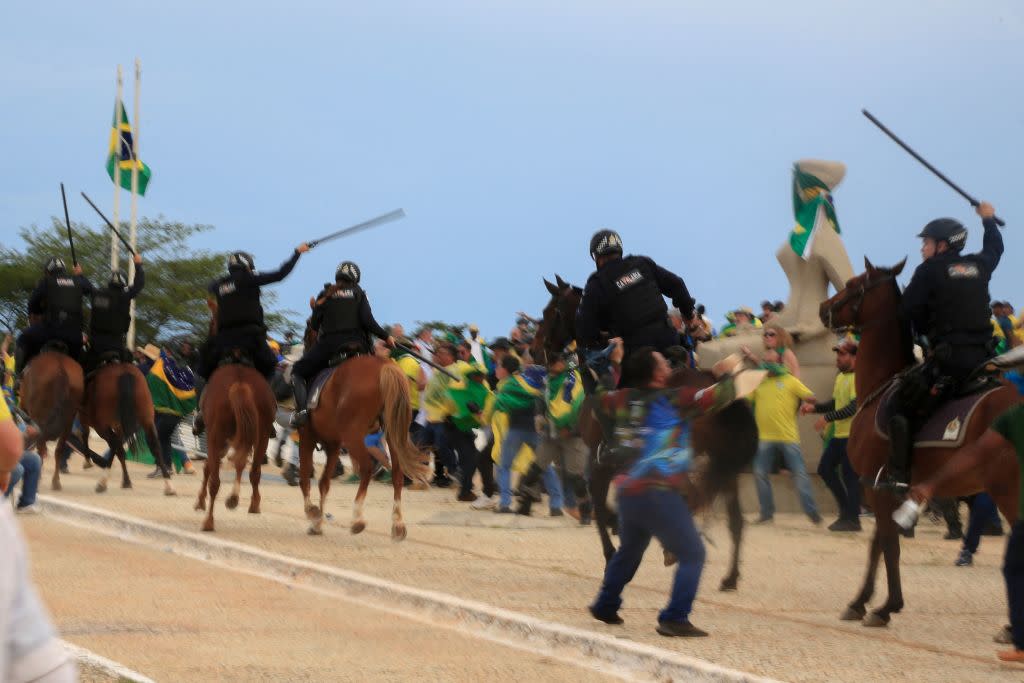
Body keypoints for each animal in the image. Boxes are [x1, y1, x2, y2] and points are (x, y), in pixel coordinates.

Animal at [19, 352, 83, 491]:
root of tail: (60, 368)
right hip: (68, 420)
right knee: (58, 449)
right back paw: (56, 481)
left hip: (39, 417)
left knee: (41, 448)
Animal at [81, 362, 174, 497]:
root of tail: (124, 370)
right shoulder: (118, 426)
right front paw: (126, 481)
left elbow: (84, 434)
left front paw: (87, 461)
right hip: (147, 419)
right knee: (155, 446)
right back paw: (168, 485)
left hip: (101, 425)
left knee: (115, 444)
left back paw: (103, 481)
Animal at [294, 323, 430, 536]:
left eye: (308, 333)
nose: (306, 349)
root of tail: (384, 367)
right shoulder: (333, 444)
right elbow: (324, 482)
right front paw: (317, 523)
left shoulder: (307, 436)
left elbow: (305, 478)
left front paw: (313, 513)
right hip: (391, 434)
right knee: (397, 474)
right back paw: (398, 524)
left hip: (353, 436)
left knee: (366, 468)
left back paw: (358, 518)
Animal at [532, 274, 757, 589]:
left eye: (551, 312)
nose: (535, 350)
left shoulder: (603, 462)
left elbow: (599, 503)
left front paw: (611, 549)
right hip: (721, 461)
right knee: (734, 519)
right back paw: (729, 577)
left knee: (692, 499)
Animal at [819, 259, 1019, 626]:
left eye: (853, 284)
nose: (824, 307)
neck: (880, 387)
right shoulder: (882, 489)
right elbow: (879, 544)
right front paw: (863, 602)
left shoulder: (878, 487)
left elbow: (888, 545)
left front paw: (885, 606)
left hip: (1006, 488)